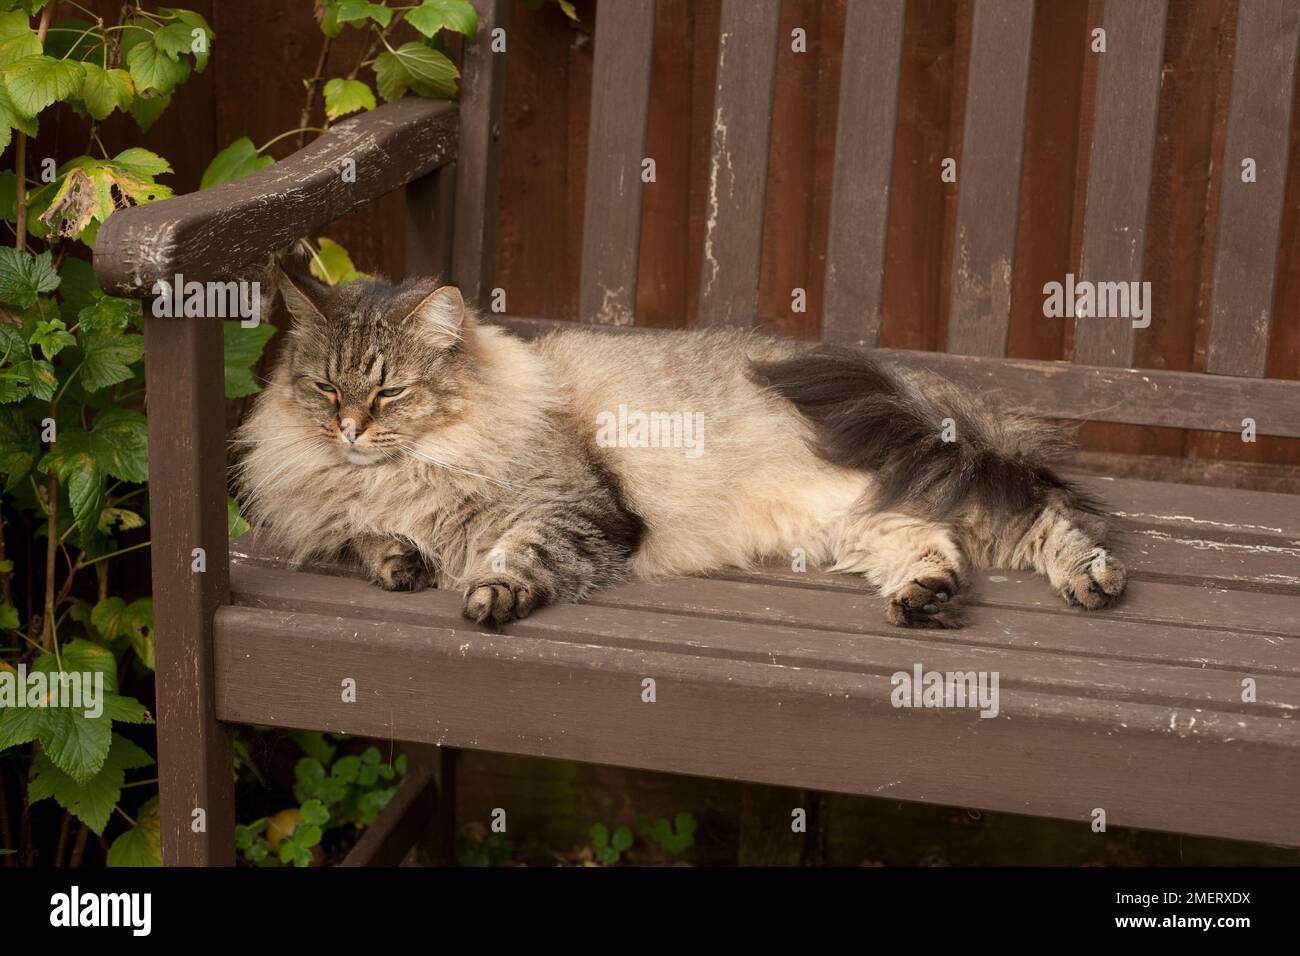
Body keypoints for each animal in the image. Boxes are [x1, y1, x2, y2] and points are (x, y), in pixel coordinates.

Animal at [236, 269, 1128, 632]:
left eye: (388, 393)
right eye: (326, 389)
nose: (349, 430)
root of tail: (932, 395)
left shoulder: (579, 511)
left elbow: (518, 555)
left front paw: (491, 595)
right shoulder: (343, 512)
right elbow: (364, 537)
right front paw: (398, 559)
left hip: (950, 482)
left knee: (1047, 520)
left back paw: (1093, 581)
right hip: (866, 524)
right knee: (937, 549)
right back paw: (924, 598)